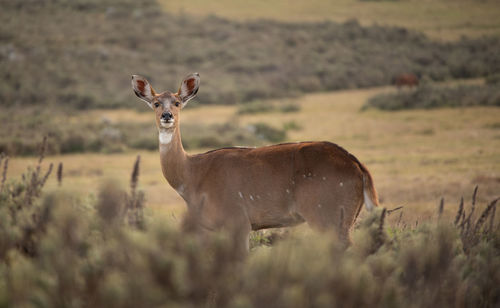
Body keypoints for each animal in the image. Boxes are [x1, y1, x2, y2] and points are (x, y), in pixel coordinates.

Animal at [130, 73, 378, 255]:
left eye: (177, 102)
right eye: (156, 103)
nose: (167, 115)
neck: (192, 175)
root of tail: (358, 167)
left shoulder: (238, 221)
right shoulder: (208, 227)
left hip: (327, 214)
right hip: (346, 219)